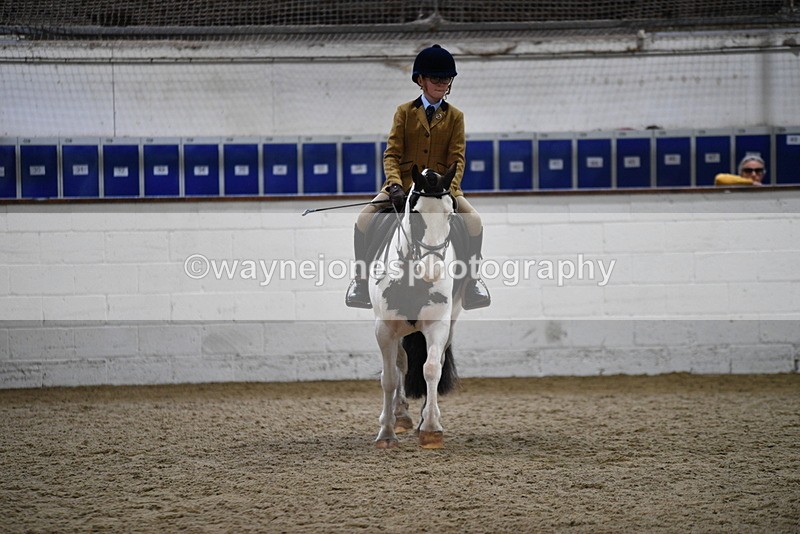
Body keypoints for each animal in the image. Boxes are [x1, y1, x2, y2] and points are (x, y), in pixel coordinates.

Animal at [367, 164, 468, 449]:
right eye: (415, 213)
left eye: (450, 213)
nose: (432, 270)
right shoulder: (384, 329)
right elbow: (389, 377)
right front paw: (386, 432)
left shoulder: (437, 324)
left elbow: (431, 369)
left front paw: (431, 429)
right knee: (401, 364)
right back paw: (400, 416)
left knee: (435, 361)